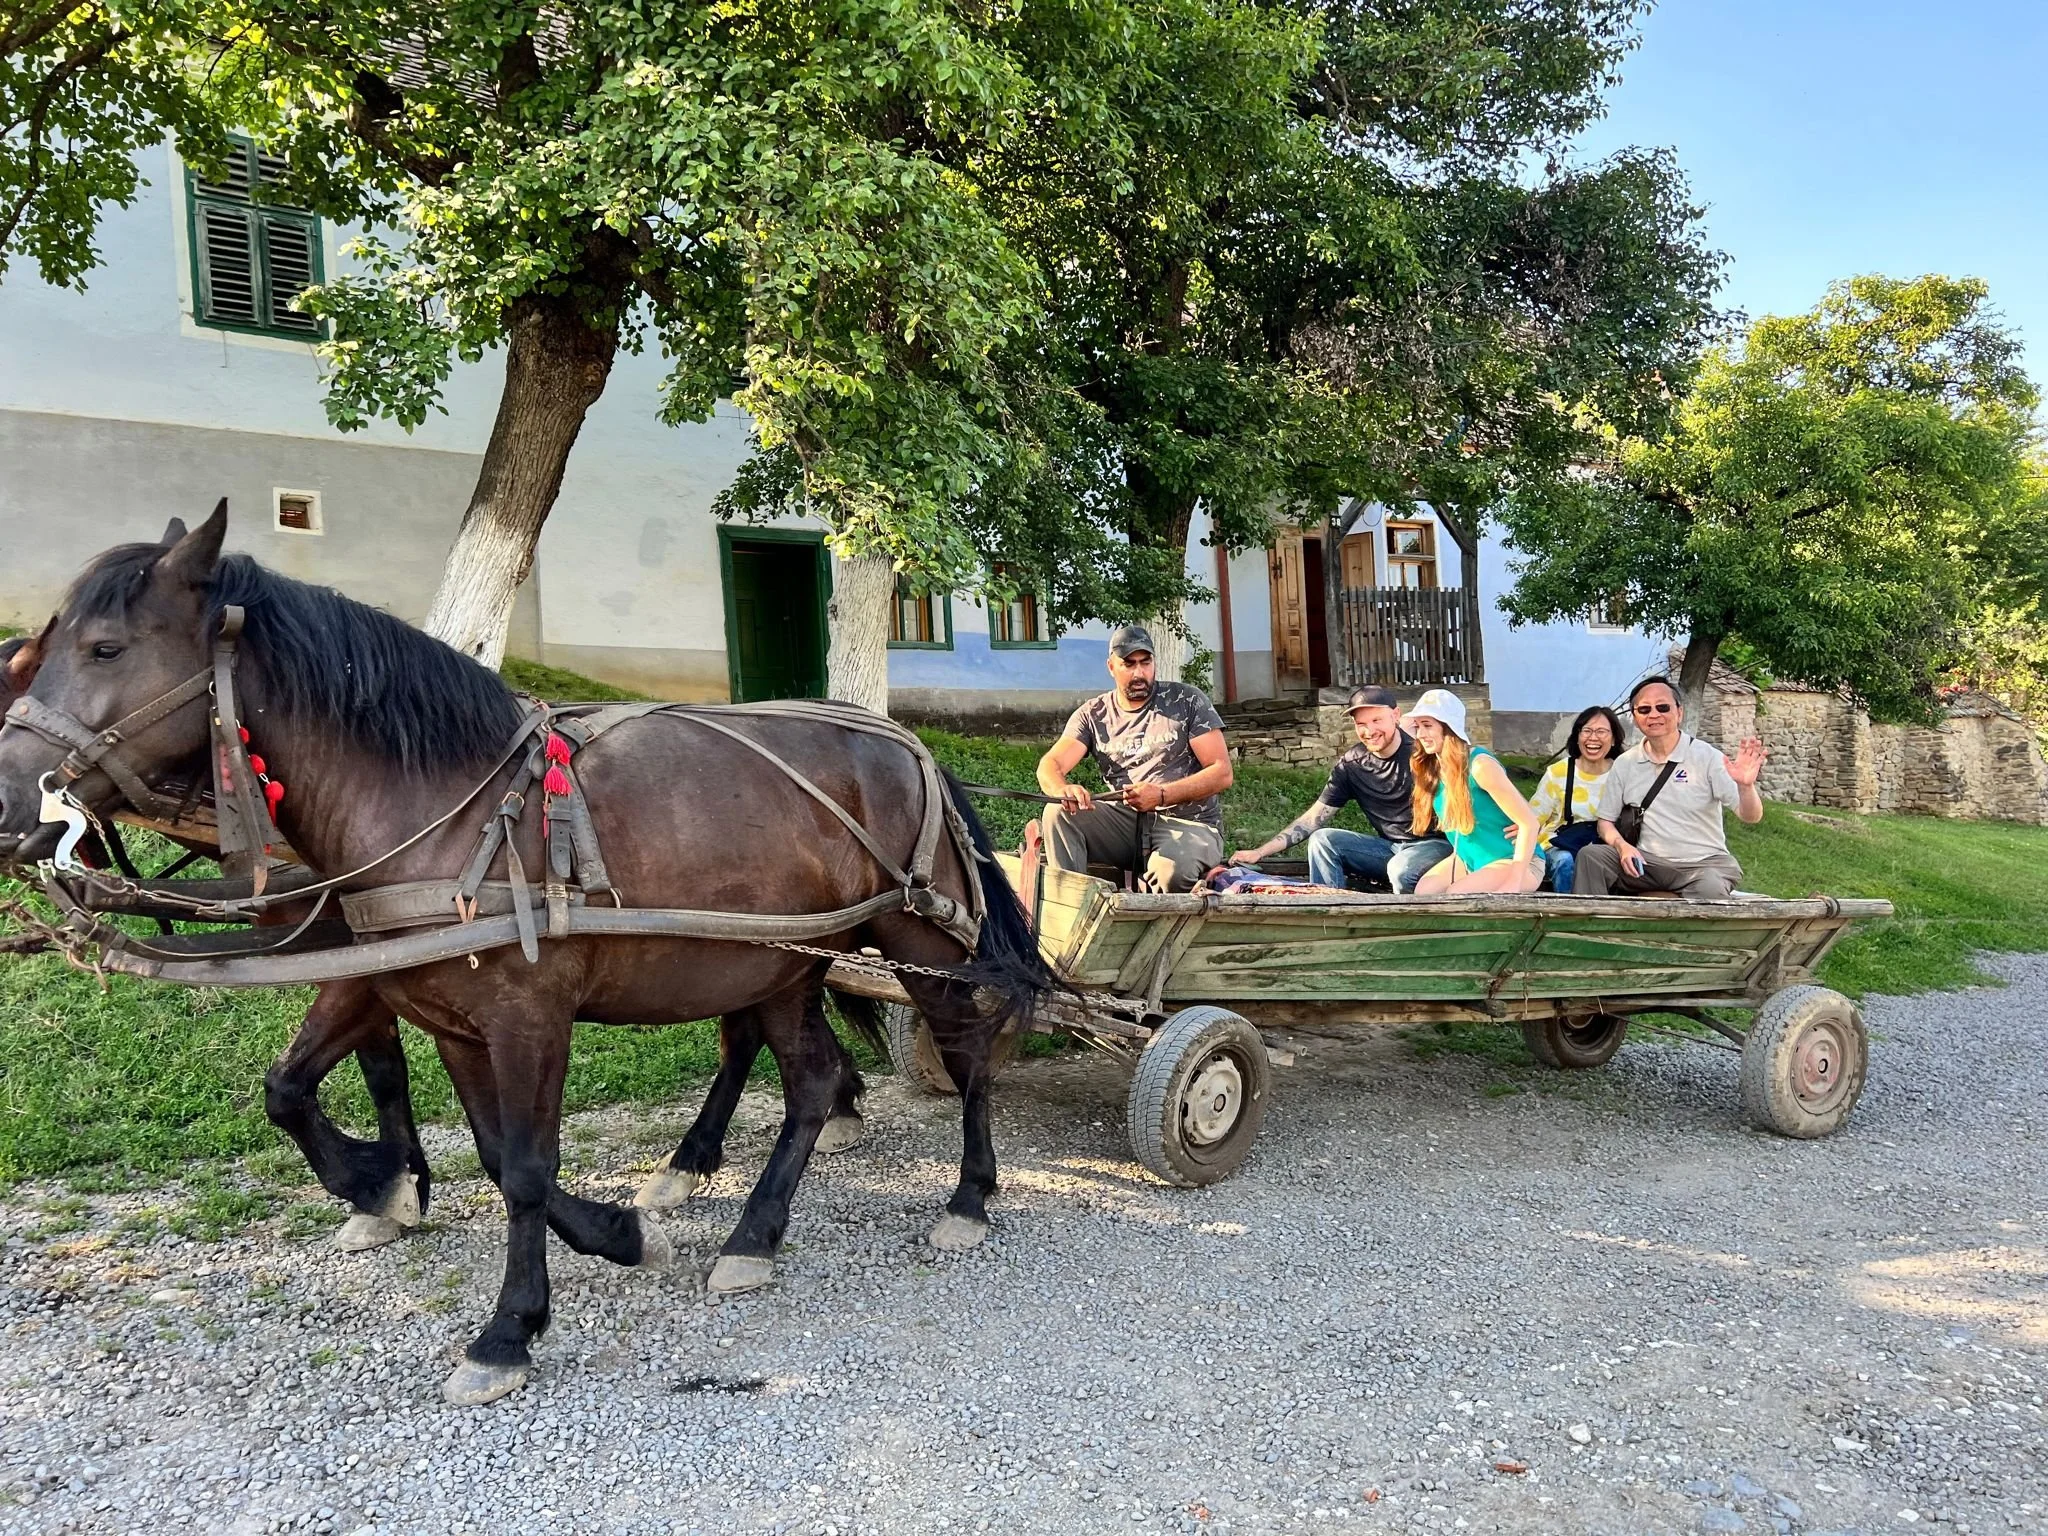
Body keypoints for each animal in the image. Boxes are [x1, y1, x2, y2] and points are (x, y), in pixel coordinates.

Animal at [0, 503, 1049, 1405]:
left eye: (104, 648)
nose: (12, 804)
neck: (442, 802)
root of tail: (902, 738)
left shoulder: (527, 1017)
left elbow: (526, 1168)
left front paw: (504, 1326)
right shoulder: (445, 1015)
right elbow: (465, 1143)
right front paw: (584, 1229)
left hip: (918, 936)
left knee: (965, 1050)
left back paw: (967, 1197)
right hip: (783, 961)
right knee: (808, 1078)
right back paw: (751, 1231)